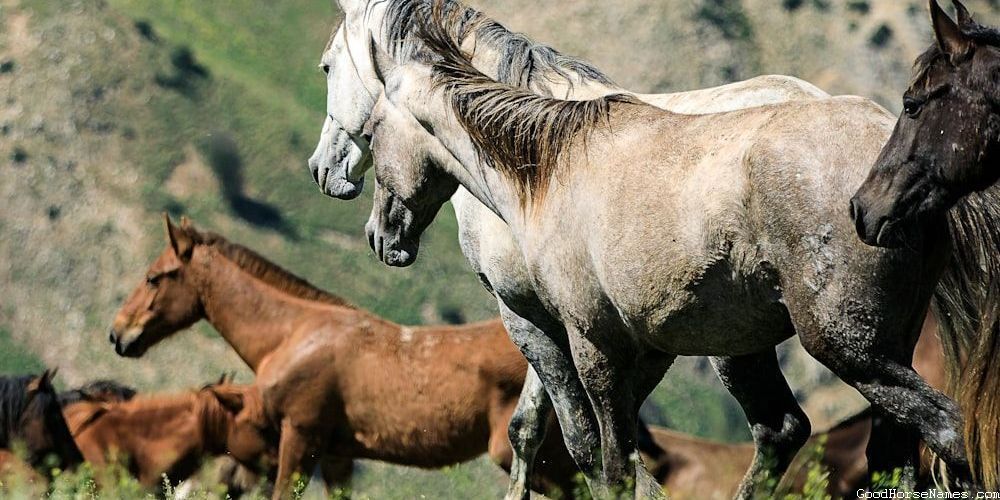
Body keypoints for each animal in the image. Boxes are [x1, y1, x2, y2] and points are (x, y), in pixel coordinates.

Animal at [312, 0, 831, 496]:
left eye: (327, 66)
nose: (323, 169)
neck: (528, 160)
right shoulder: (564, 319)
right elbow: (534, 428)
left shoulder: (527, 316)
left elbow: (580, 441)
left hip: (733, 339)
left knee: (777, 429)